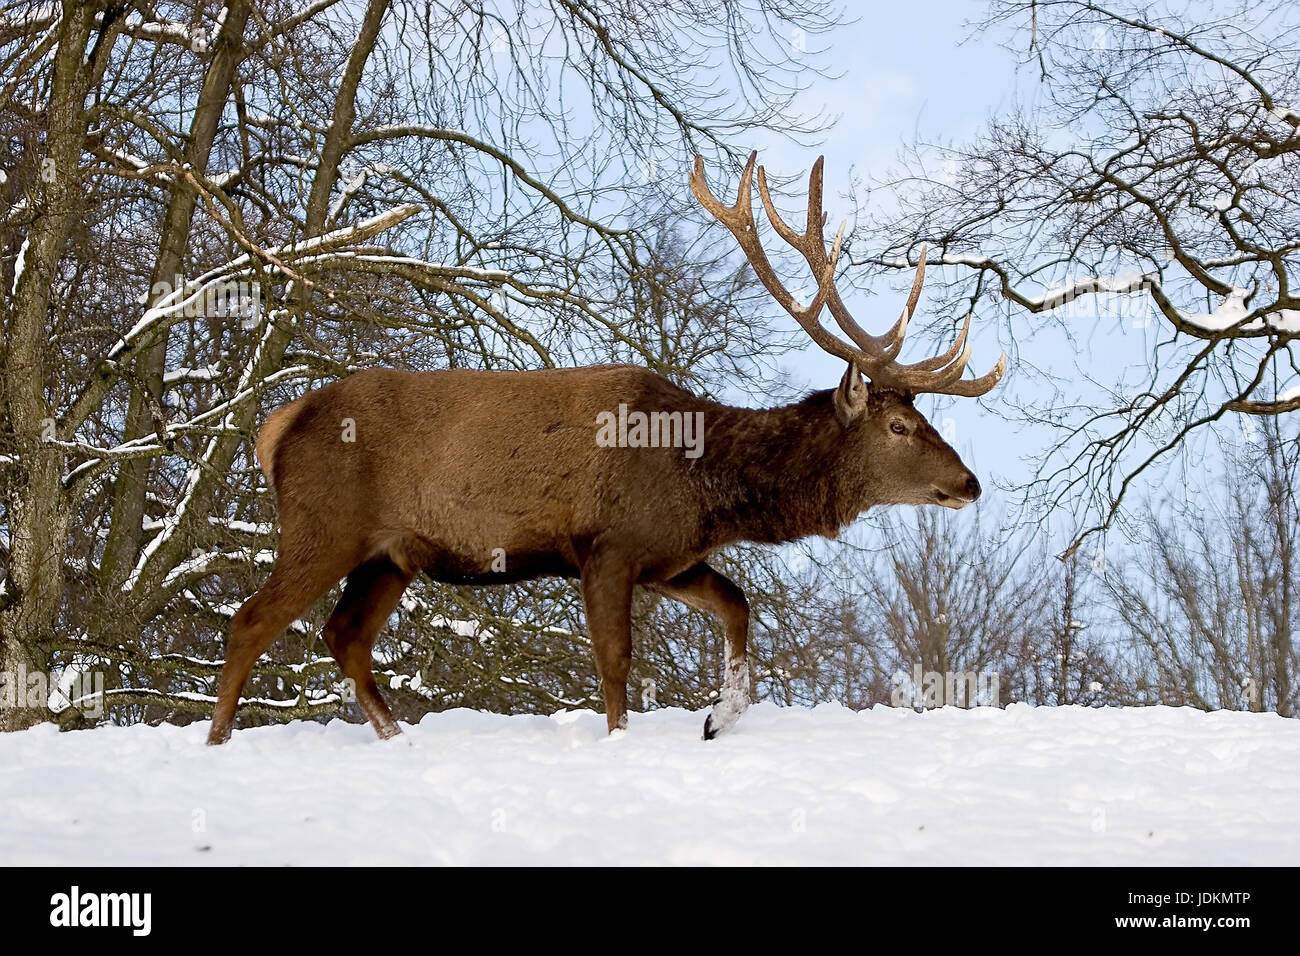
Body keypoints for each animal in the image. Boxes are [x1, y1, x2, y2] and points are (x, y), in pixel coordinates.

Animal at [210, 151, 1003, 749]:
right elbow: (615, 664)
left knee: (342, 635)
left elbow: (738, 605)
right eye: (898, 427)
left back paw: (396, 738)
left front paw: (719, 717)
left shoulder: (667, 557)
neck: (701, 478)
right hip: (325, 523)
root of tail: (276, 426)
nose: (970, 482)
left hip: (390, 555)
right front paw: (624, 739)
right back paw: (219, 743)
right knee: (251, 619)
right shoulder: (606, 545)